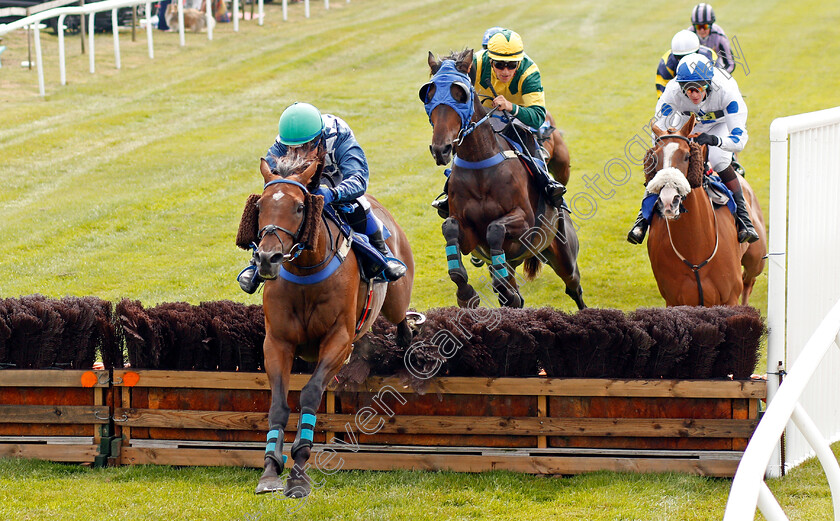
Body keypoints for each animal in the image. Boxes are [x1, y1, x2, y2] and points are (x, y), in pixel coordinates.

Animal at [420, 48, 584, 308]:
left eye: (460, 94)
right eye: (429, 94)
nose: (441, 149)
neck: (480, 166)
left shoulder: (525, 222)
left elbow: (495, 227)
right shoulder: (469, 236)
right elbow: (450, 229)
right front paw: (466, 293)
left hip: (563, 252)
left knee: (574, 288)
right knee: (511, 293)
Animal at [644, 115, 768, 304]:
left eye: (687, 156)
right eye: (654, 158)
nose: (668, 200)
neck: (695, 249)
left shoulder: (730, 297)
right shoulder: (674, 300)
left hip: (756, 259)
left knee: (749, 281)